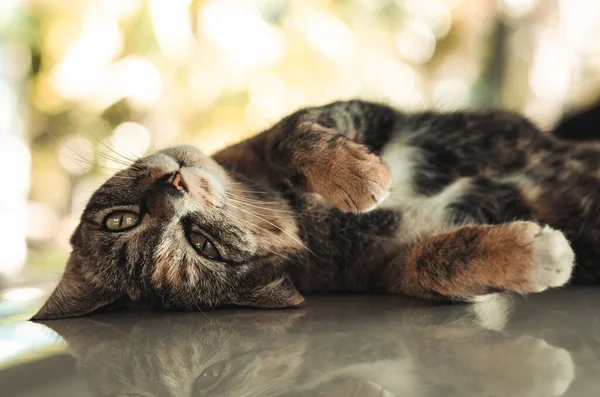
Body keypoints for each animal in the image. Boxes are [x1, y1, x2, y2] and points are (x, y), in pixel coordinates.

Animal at [32, 99, 600, 318]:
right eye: (204, 245)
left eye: (119, 218)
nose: (171, 186)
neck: (299, 217)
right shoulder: (387, 267)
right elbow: (437, 263)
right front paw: (539, 256)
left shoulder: (348, 115)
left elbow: (292, 133)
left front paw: (359, 177)